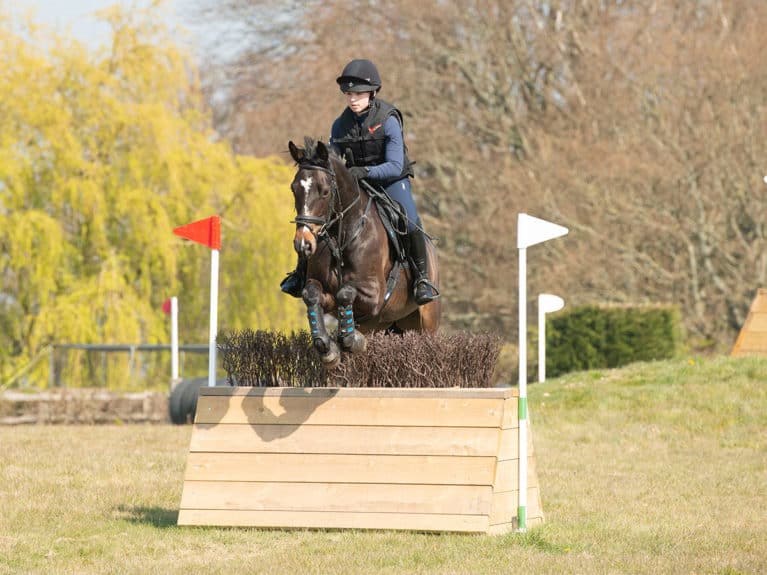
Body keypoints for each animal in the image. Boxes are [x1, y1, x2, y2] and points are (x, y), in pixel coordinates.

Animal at [288, 137, 444, 366]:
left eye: (324, 191)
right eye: (294, 189)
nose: (303, 244)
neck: (342, 236)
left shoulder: (375, 296)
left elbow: (345, 292)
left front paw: (351, 340)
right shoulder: (321, 288)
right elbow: (312, 295)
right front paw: (328, 348)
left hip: (427, 322)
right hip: (386, 325)